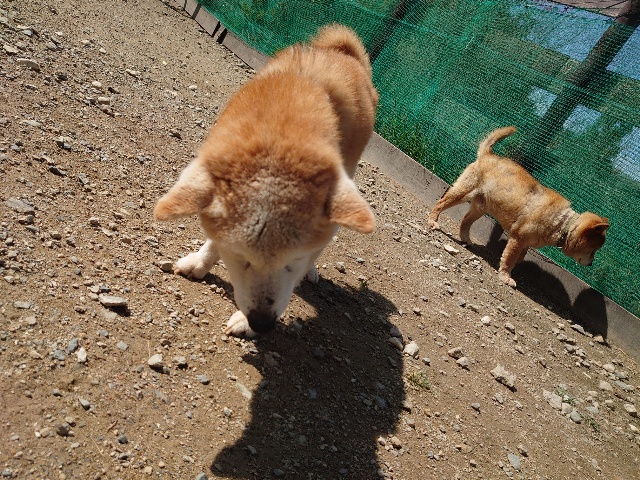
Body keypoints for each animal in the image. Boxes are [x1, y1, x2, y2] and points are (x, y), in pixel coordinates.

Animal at [154, 25, 378, 336]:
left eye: (293, 261)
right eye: (241, 258)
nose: (261, 323)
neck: (281, 127)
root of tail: (347, 55)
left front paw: (242, 321)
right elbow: (214, 238)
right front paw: (200, 261)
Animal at [428, 126, 609, 288]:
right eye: (593, 250)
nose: (591, 263)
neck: (563, 224)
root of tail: (487, 155)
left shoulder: (525, 242)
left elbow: (520, 256)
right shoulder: (517, 238)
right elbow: (510, 259)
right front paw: (505, 276)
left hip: (480, 207)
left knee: (465, 220)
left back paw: (466, 238)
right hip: (462, 192)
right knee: (440, 203)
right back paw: (433, 221)